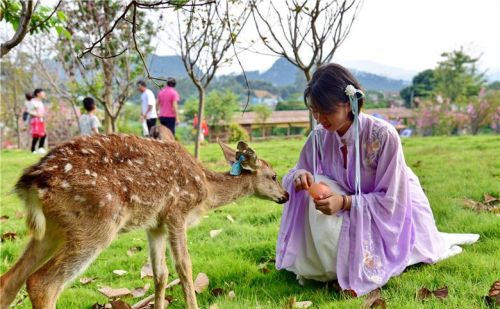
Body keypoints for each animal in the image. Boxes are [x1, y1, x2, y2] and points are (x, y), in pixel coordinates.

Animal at [0, 134, 290, 308]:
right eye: (274, 176)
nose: (286, 195)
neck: (206, 192)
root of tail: (31, 182)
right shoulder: (177, 212)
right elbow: (184, 267)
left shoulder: (155, 226)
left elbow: (160, 274)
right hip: (97, 222)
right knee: (42, 283)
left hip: (54, 229)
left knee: (10, 280)